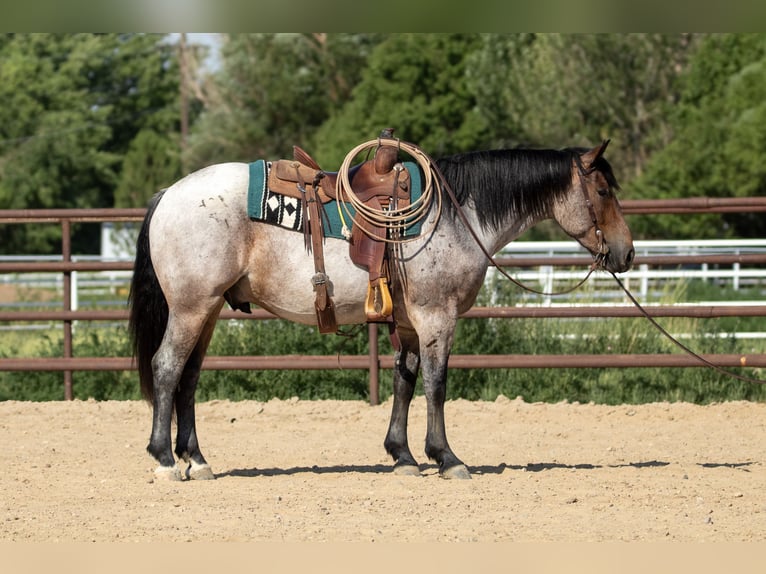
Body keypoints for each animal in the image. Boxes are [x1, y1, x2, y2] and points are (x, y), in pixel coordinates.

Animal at [130, 138, 636, 482]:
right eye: (604, 191)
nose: (626, 253)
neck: (457, 216)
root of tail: (168, 194)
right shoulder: (437, 316)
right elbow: (436, 384)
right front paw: (447, 458)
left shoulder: (411, 323)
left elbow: (404, 381)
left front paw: (403, 456)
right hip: (191, 308)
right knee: (167, 367)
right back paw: (164, 460)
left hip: (209, 310)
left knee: (189, 376)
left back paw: (197, 459)